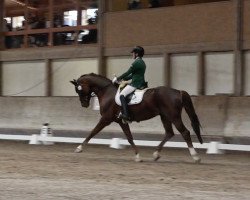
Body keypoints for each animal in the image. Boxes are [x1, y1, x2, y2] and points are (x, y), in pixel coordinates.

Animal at [70, 73, 203, 162]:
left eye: (78, 90)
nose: (84, 104)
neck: (107, 91)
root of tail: (178, 92)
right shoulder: (121, 121)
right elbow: (129, 137)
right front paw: (138, 156)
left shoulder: (106, 119)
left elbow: (93, 132)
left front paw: (79, 148)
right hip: (165, 116)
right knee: (169, 133)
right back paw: (156, 154)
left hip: (173, 116)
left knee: (185, 132)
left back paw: (195, 156)